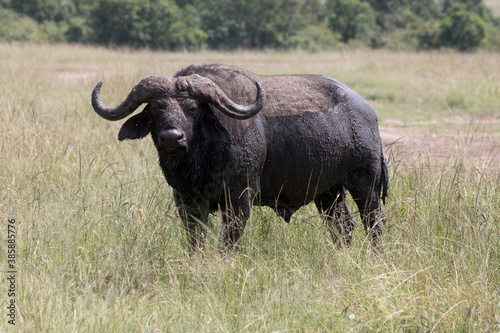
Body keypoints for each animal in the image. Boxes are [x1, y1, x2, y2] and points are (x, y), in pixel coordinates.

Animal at [90, 63, 388, 249]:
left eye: (193, 109)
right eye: (155, 108)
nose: (172, 137)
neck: (201, 161)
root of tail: (368, 113)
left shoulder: (240, 197)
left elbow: (228, 240)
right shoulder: (185, 199)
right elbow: (195, 239)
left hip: (366, 185)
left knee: (374, 223)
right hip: (328, 192)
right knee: (343, 226)